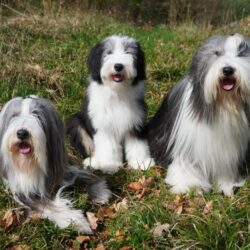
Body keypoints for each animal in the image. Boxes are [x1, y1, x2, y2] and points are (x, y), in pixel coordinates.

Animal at [0, 95, 110, 232]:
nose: (22, 133)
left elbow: (83, 175)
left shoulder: (62, 168)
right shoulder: (24, 191)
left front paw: (100, 191)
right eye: (14, 115)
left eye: (37, 114)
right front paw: (78, 222)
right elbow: (48, 206)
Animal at [66, 35, 154, 173]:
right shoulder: (104, 125)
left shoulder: (135, 122)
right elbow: (109, 146)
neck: (117, 92)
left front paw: (141, 163)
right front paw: (109, 165)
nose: (118, 66)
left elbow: (137, 144)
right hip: (75, 123)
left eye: (128, 52)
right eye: (108, 53)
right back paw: (94, 162)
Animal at [148, 34, 250, 196]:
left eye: (240, 54)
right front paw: (188, 186)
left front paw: (226, 184)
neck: (223, 104)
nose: (228, 70)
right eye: (217, 53)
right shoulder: (187, 145)